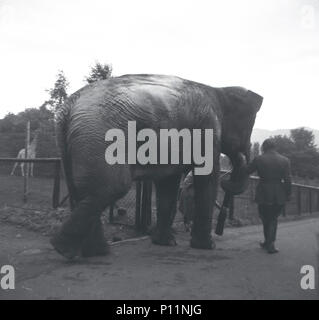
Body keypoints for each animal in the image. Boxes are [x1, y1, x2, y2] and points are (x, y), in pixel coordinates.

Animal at [51, 74, 264, 258]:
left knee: (84, 191)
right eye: (249, 129)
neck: (218, 90)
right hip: (100, 137)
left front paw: (166, 243)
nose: (241, 155)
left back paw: (95, 252)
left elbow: (168, 184)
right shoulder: (207, 127)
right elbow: (205, 176)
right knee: (113, 187)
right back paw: (67, 249)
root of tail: (68, 108)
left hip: (77, 142)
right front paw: (207, 246)